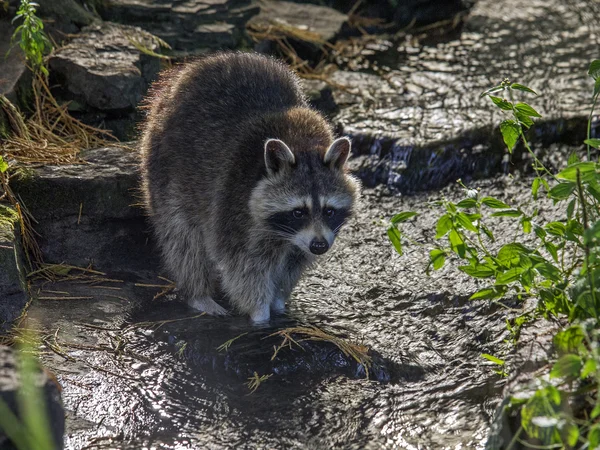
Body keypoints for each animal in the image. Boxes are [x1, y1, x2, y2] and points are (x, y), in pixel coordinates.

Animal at [138, 51, 358, 322]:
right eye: (298, 212)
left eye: (329, 210)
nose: (319, 246)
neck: (302, 144)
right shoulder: (234, 204)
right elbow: (243, 268)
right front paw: (260, 315)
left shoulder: (304, 240)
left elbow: (291, 266)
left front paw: (279, 303)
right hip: (164, 166)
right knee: (182, 239)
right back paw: (198, 293)